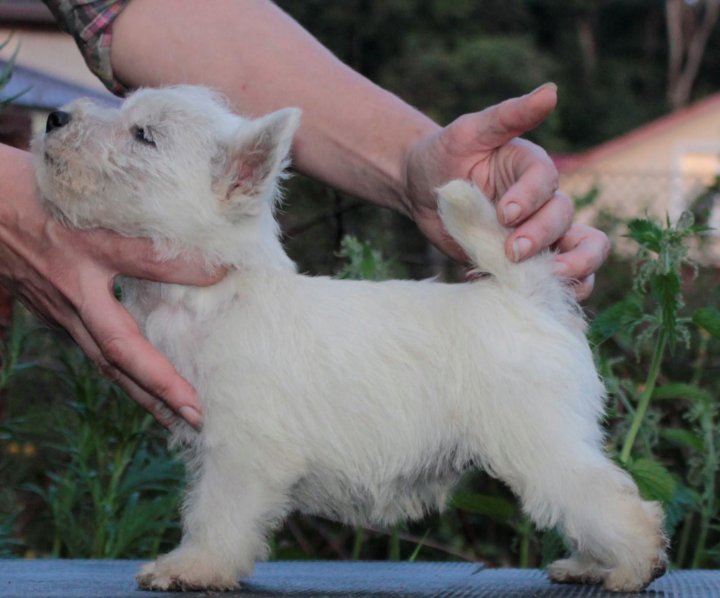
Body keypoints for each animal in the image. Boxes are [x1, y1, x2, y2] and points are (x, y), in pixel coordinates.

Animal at [32, 85, 664, 596]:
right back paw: (592, 564)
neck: (215, 295)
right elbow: (206, 507)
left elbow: (215, 515)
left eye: (144, 135)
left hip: (539, 443)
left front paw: (193, 567)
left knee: (608, 500)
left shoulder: (240, 452)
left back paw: (632, 567)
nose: (55, 118)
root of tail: (526, 295)